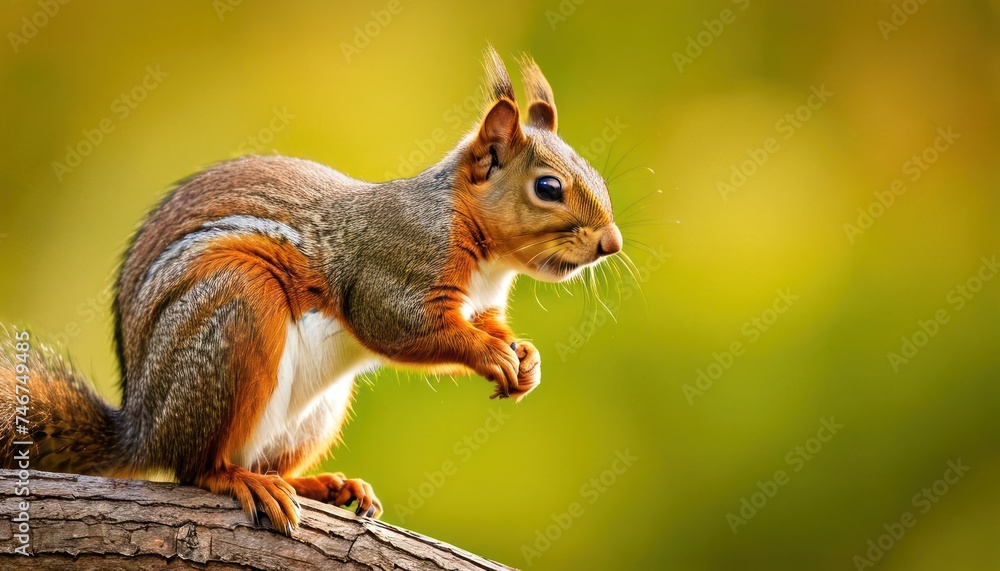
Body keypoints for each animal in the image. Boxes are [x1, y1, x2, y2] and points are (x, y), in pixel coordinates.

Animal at [0, 47, 623, 534]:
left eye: (596, 174)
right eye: (548, 187)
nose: (611, 244)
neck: (486, 258)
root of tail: (142, 430)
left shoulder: (485, 301)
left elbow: (490, 325)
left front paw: (525, 357)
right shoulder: (390, 268)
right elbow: (405, 327)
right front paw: (489, 355)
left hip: (315, 413)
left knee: (272, 462)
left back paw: (323, 484)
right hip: (236, 311)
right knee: (196, 467)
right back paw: (239, 480)